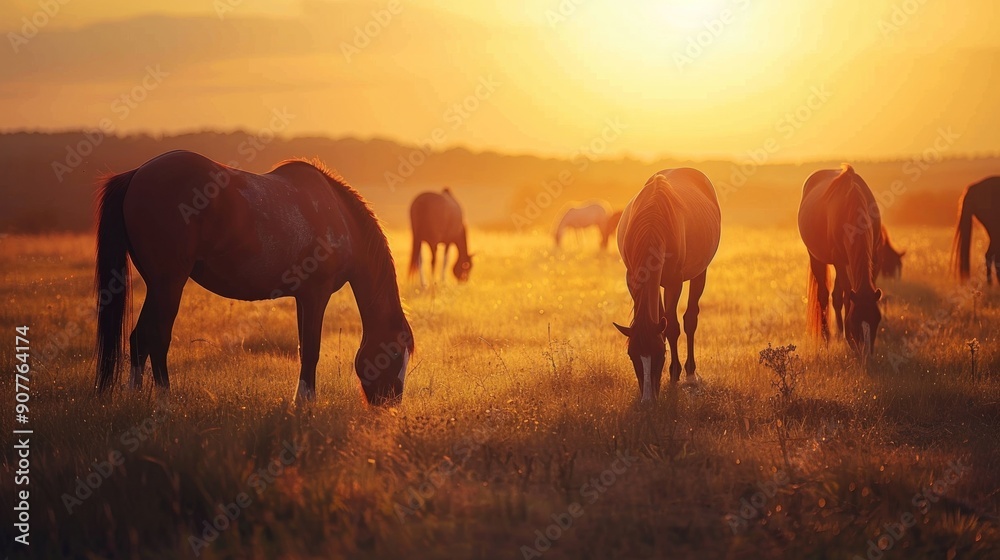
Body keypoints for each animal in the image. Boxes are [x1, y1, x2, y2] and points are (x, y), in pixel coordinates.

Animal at [94, 150, 413, 405]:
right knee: (156, 337)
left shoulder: (302, 297)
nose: (390, 404)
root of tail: (137, 174)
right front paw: (305, 402)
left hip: (157, 285)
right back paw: (164, 400)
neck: (338, 215)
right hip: (168, 284)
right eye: (396, 353)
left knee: (139, 339)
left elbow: (303, 348)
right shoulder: (316, 295)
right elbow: (312, 350)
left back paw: (134, 398)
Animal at [613, 169, 721, 402]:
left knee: (690, 319)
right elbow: (662, 322)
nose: (647, 400)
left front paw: (673, 374)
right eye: (631, 355)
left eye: (660, 355)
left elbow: (672, 326)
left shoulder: (673, 283)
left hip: (699, 273)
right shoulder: (634, 280)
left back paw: (690, 373)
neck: (653, 221)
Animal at [798, 164, 882, 358]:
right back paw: (827, 336)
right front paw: (849, 339)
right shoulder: (840, 261)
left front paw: (846, 336)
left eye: (877, 319)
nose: (867, 353)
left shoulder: (872, 256)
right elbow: (844, 297)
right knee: (824, 295)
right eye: (855, 320)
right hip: (816, 258)